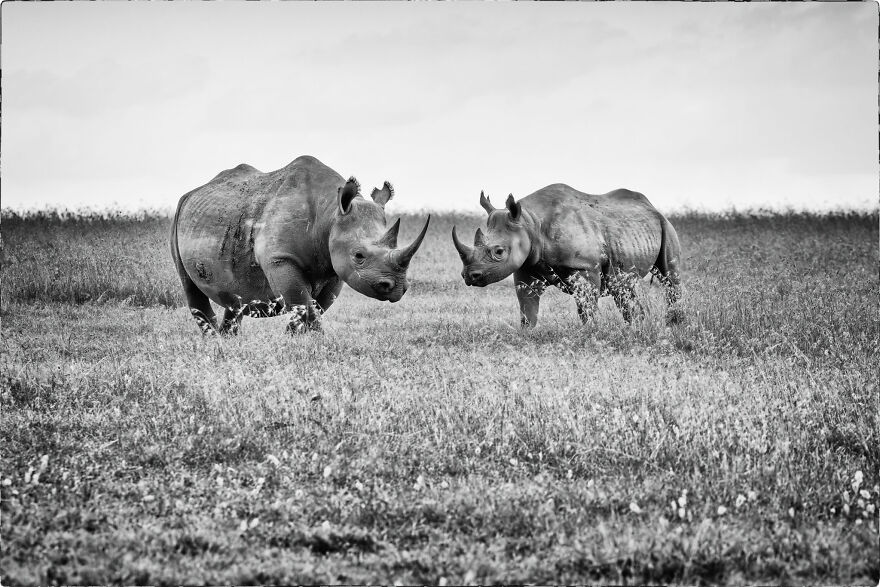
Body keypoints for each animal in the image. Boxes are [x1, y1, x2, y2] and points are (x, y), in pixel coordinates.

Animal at [170, 155, 430, 335]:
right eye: (359, 255)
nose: (397, 288)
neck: (330, 213)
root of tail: (194, 191)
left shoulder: (333, 267)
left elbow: (313, 307)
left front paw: (294, 340)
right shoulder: (280, 259)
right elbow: (304, 304)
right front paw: (318, 343)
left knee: (234, 299)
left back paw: (227, 342)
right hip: (178, 215)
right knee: (191, 288)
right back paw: (214, 342)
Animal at [452, 184, 682, 328]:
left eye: (499, 252)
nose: (469, 276)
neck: (530, 221)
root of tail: (651, 206)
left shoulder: (585, 266)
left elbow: (586, 307)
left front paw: (591, 333)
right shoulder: (526, 266)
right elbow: (527, 307)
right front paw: (526, 335)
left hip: (665, 225)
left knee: (670, 277)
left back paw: (675, 325)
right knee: (623, 286)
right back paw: (637, 329)